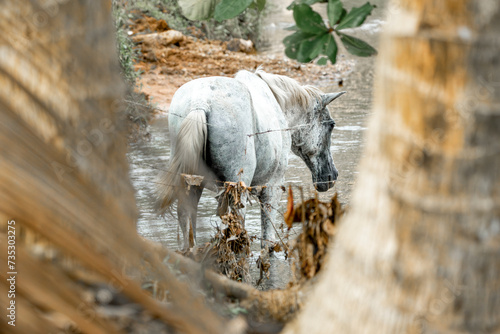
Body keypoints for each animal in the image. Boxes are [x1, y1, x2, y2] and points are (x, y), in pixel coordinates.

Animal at [155, 69, 344, 249]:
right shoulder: (272, 188)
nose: (331, 177)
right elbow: (268, 243)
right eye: (331, 125)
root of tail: (200, 103)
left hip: (193, 186)